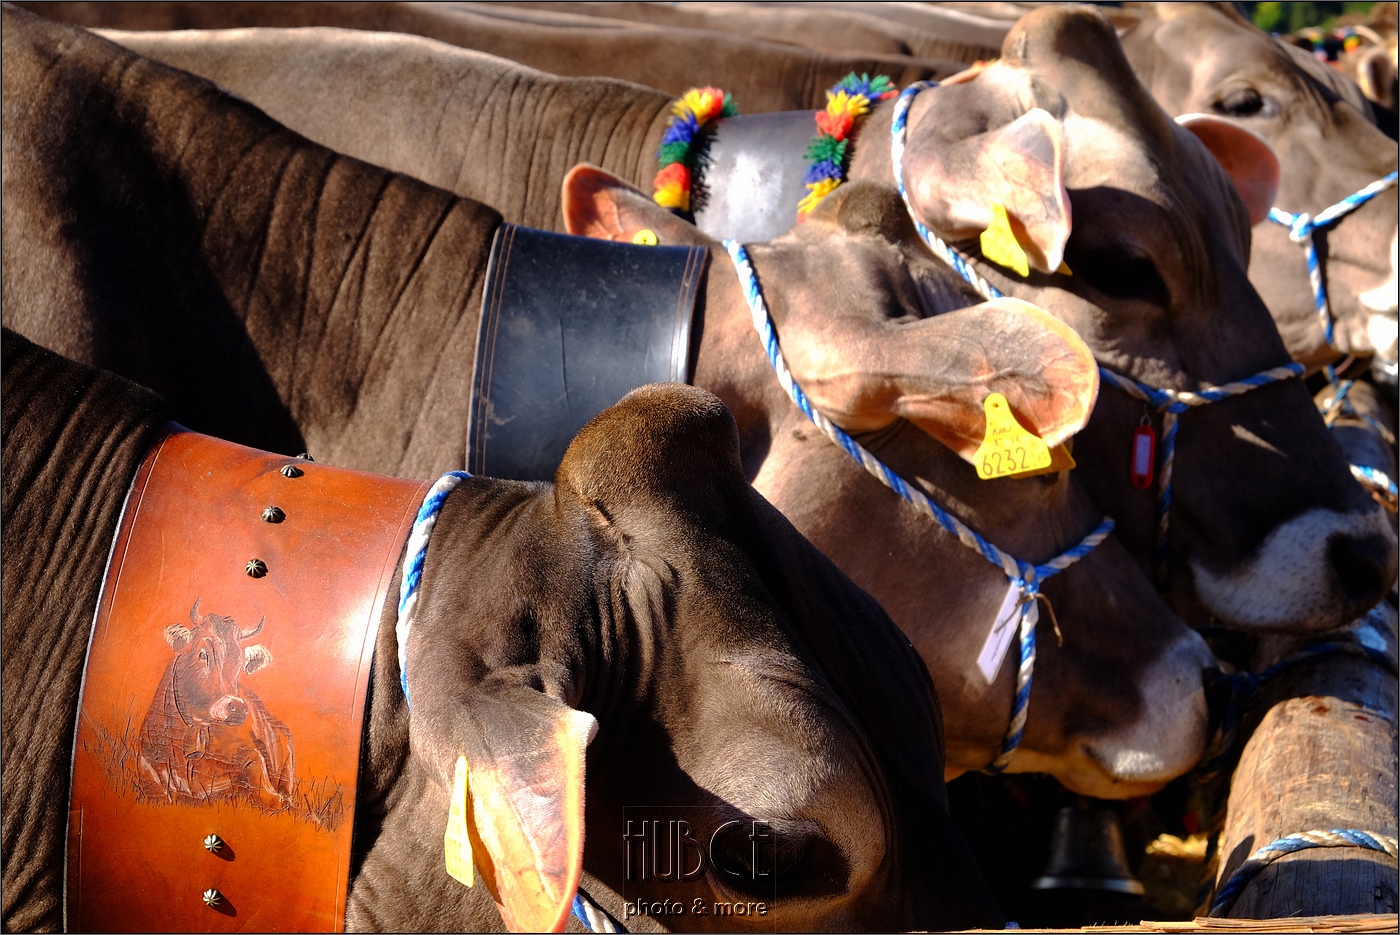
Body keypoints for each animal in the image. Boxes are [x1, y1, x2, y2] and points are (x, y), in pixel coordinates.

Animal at [136, 601, 295, 809]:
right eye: (203, 654)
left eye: (241, 664)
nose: (237, 708)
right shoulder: (145, 761)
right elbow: (157, 792)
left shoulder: (252, 758)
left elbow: (268, 797)